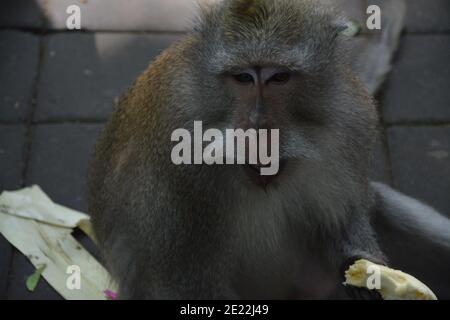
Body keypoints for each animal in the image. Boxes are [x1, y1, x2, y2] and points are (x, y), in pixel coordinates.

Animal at [88, 0, 450, 300]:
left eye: (279, 78)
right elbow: (182, 281)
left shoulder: (353, 118)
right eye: (243, 78)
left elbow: (347, 215)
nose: (258, 122)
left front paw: (361, 266)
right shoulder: (175, 162)